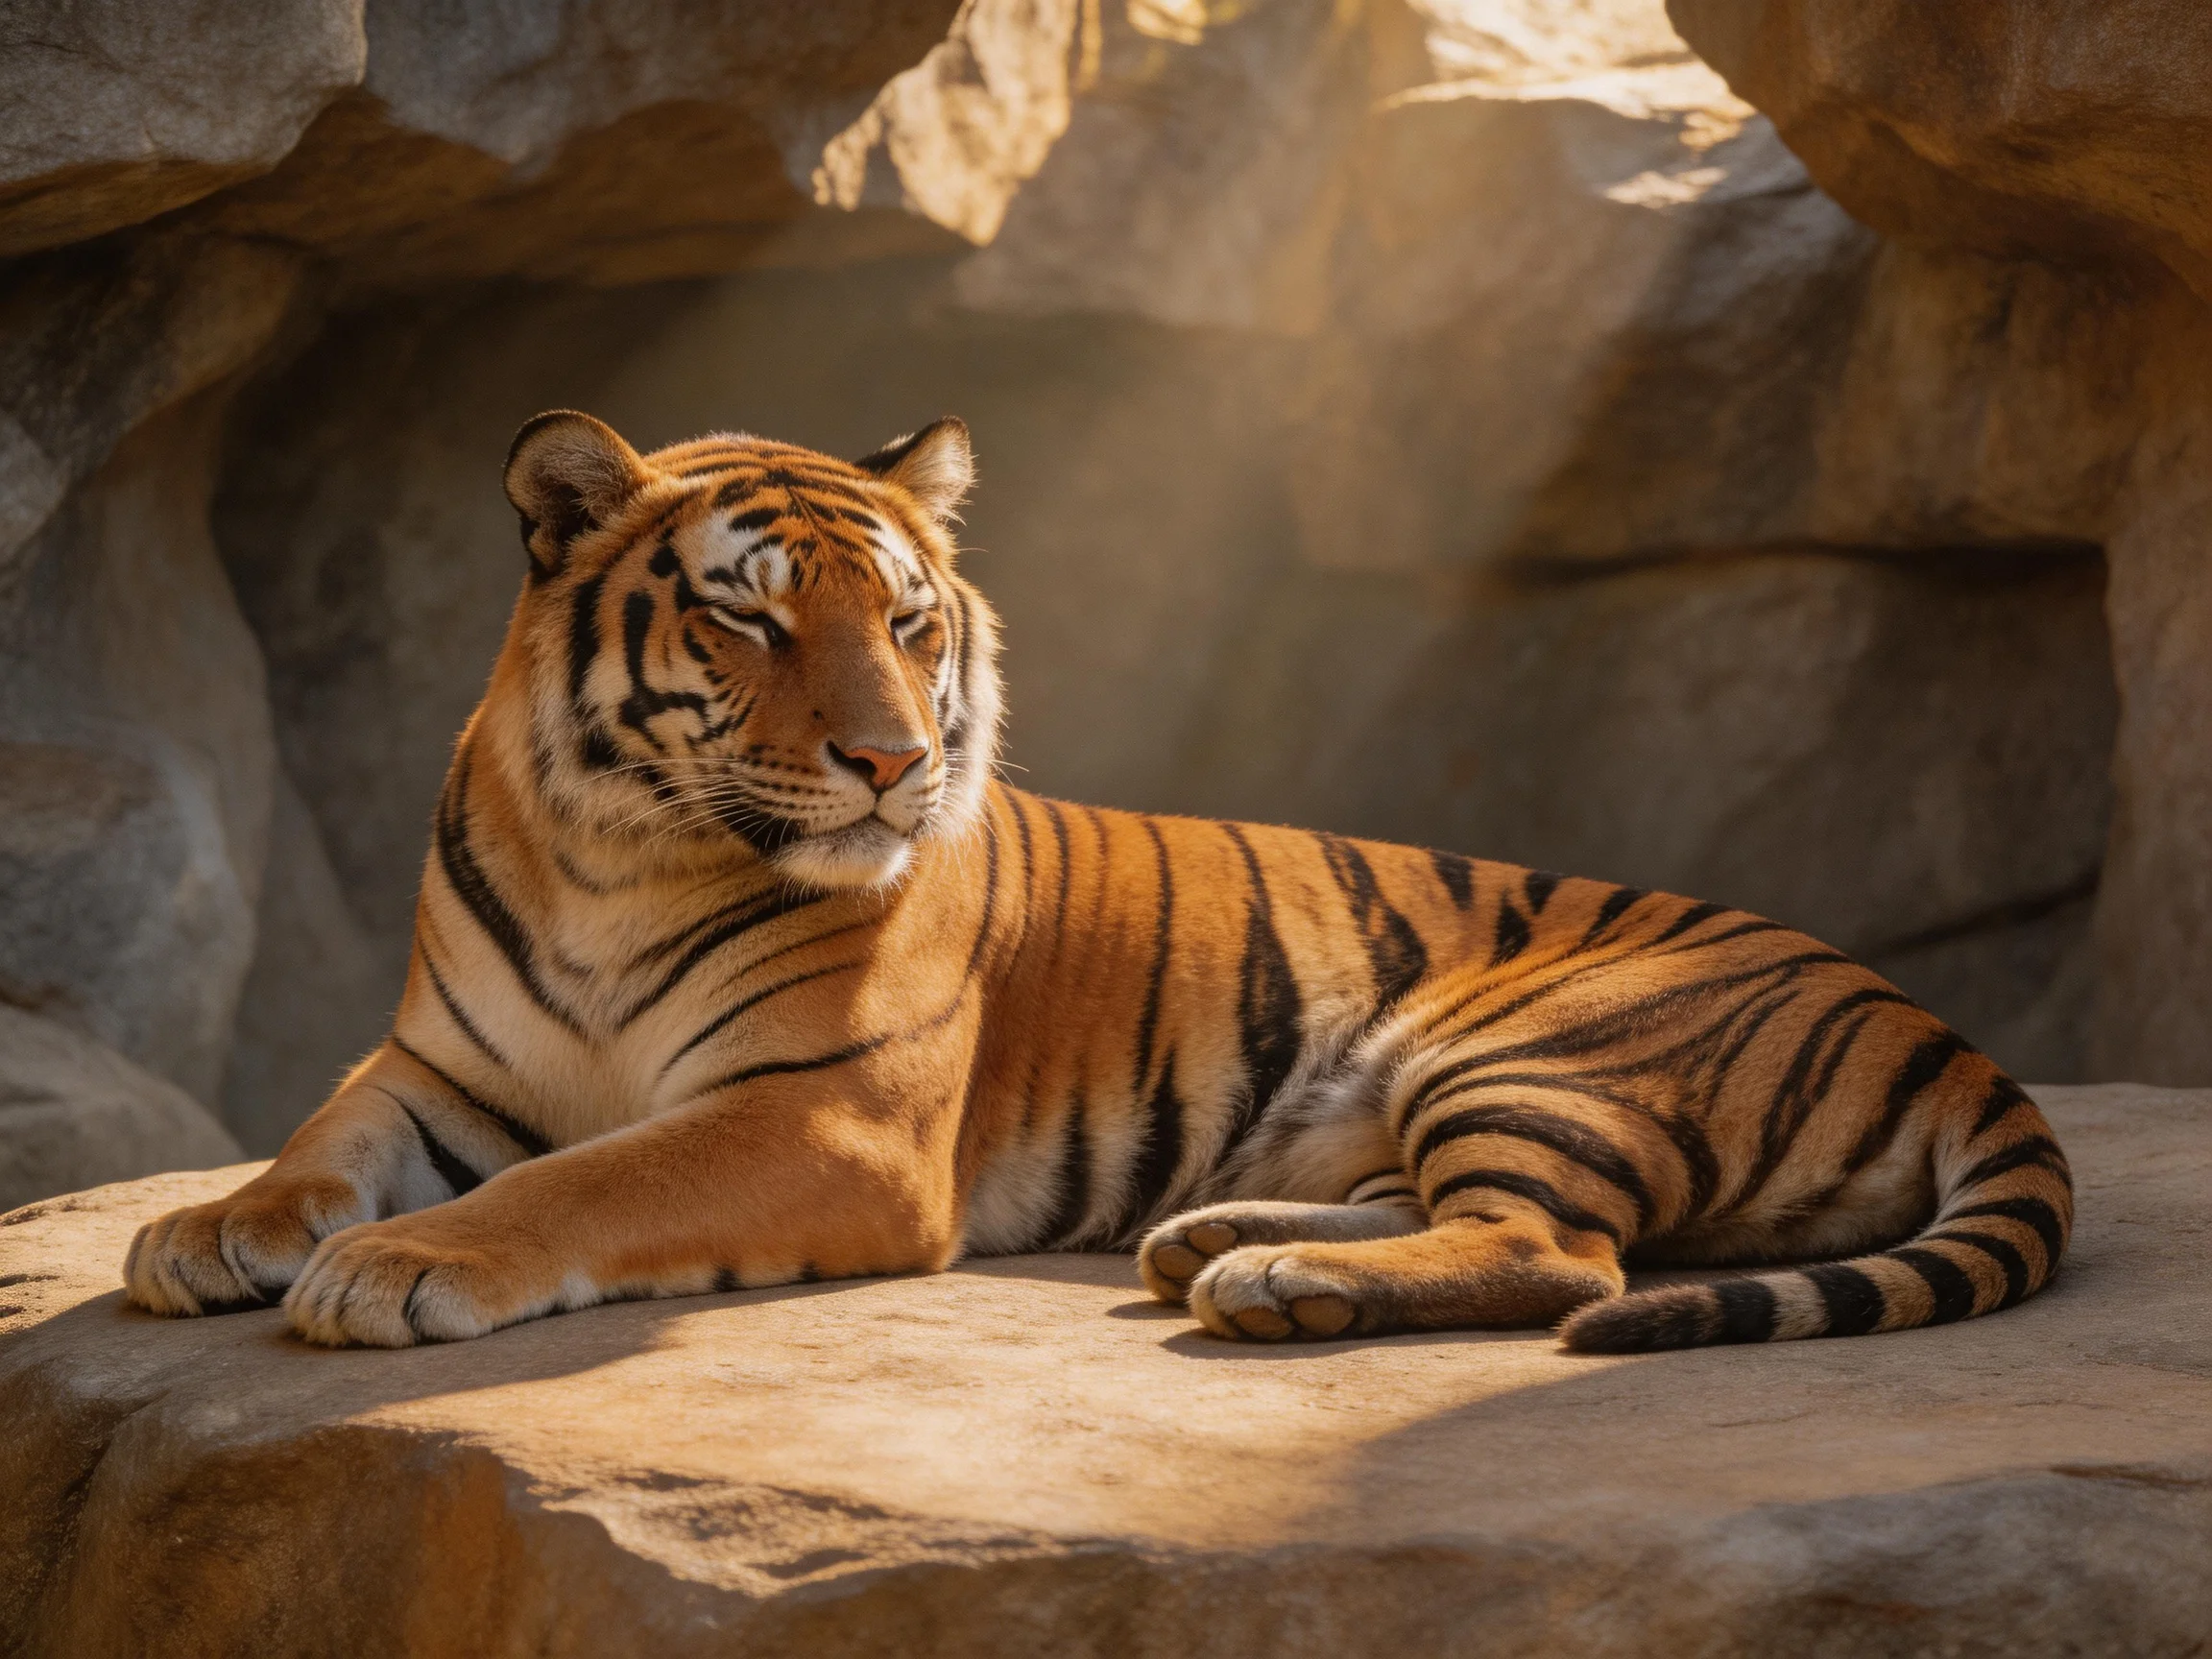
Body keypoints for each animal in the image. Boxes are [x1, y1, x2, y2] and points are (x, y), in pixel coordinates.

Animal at [123, 410, 2073, 1353]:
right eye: (752, 617)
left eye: (908, 624)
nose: (888, 760)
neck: (622, 851)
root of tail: (1933, 1022)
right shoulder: (441, 1065)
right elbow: (322, 1141)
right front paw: (204, 1230)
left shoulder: (823, 1114)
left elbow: (587, 1183)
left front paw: (394, 1267)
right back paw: (1221, 1237)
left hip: (1533, 1048)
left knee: (1561, 1251)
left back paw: (1275, 1286)